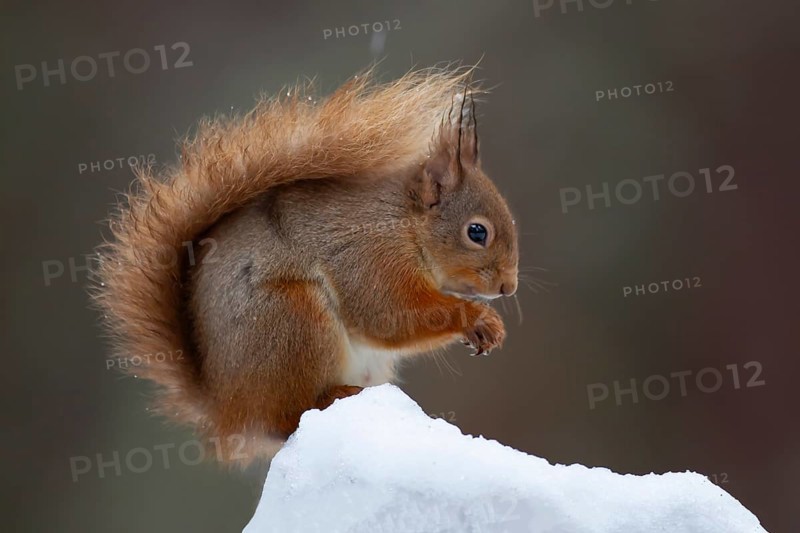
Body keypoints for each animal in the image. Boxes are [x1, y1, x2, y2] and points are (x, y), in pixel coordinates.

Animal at [93, 67, 519, 466]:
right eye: (477, 232)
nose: (508, 287)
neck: (405, 225)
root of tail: (225, 409)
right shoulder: (369, 256)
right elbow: (387, 315)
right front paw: (478, 319)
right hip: (293, 321)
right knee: (285, 417)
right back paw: (331, 395)